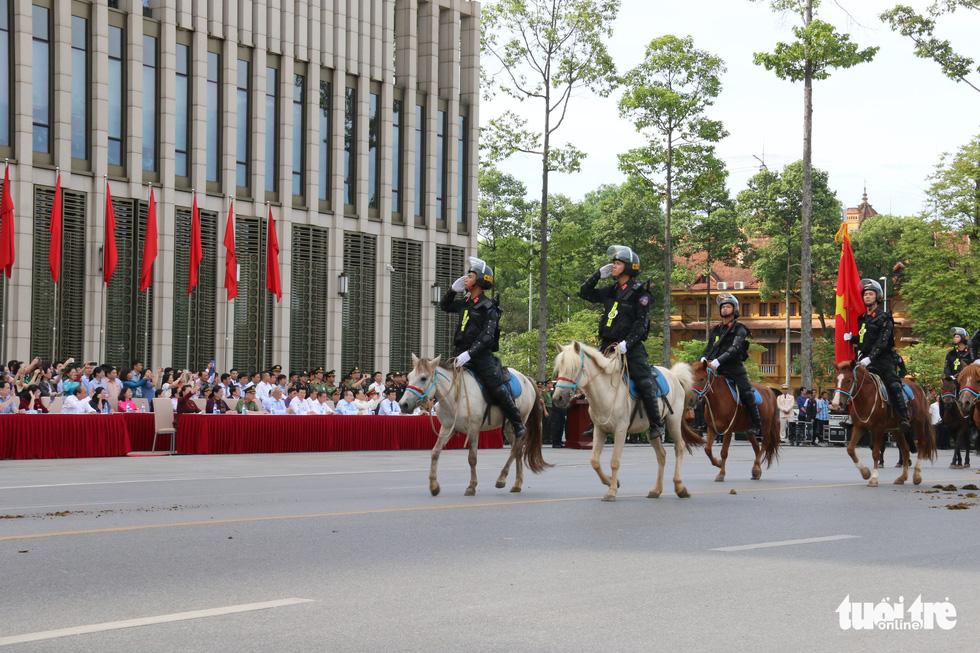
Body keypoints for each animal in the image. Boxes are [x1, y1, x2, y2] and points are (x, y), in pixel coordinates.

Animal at [398, 354, 552, 496]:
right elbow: (435, 452)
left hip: (519, 421)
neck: (456, 396)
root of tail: (526, 379)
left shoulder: (473, 429)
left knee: (515, 449)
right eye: (409, 377)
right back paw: (517, 483)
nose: (403, 404)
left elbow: (472, 458)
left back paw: (501, 479)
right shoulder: (447, 428)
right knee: (518, 450)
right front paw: (434, 486)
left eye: (423, 378)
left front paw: (471, 486)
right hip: (509, 428)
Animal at [552, 338, 704, 502]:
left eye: (575, 368)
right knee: (661, 454)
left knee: (679, 447)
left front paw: (611, 491)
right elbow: (594, 461)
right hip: (652, 430)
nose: (558, 398)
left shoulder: (620, 430)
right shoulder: (599, 430)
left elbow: (615, 461)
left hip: (673, 421)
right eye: (559, 368)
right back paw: (656, 490)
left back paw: (680, 487)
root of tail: (674, 376)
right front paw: (611, 482)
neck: (607, 391)